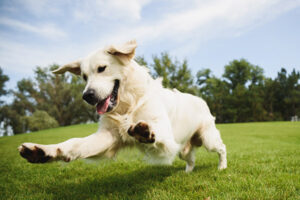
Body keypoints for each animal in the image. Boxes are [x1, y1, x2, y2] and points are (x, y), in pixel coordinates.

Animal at [17, 40, 226, 172]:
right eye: (84, 77)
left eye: (102, 68)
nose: (87, 96)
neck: (128, 105)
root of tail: (201, 99)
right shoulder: (108, 136)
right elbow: (74, 143)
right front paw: (43, 151)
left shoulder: (167, 139)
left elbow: (155, 132)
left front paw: (144, 132)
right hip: (184, 148)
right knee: (190, 159)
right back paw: (187, 172)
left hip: (208, 139)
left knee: (222, 148)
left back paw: (222, 167)